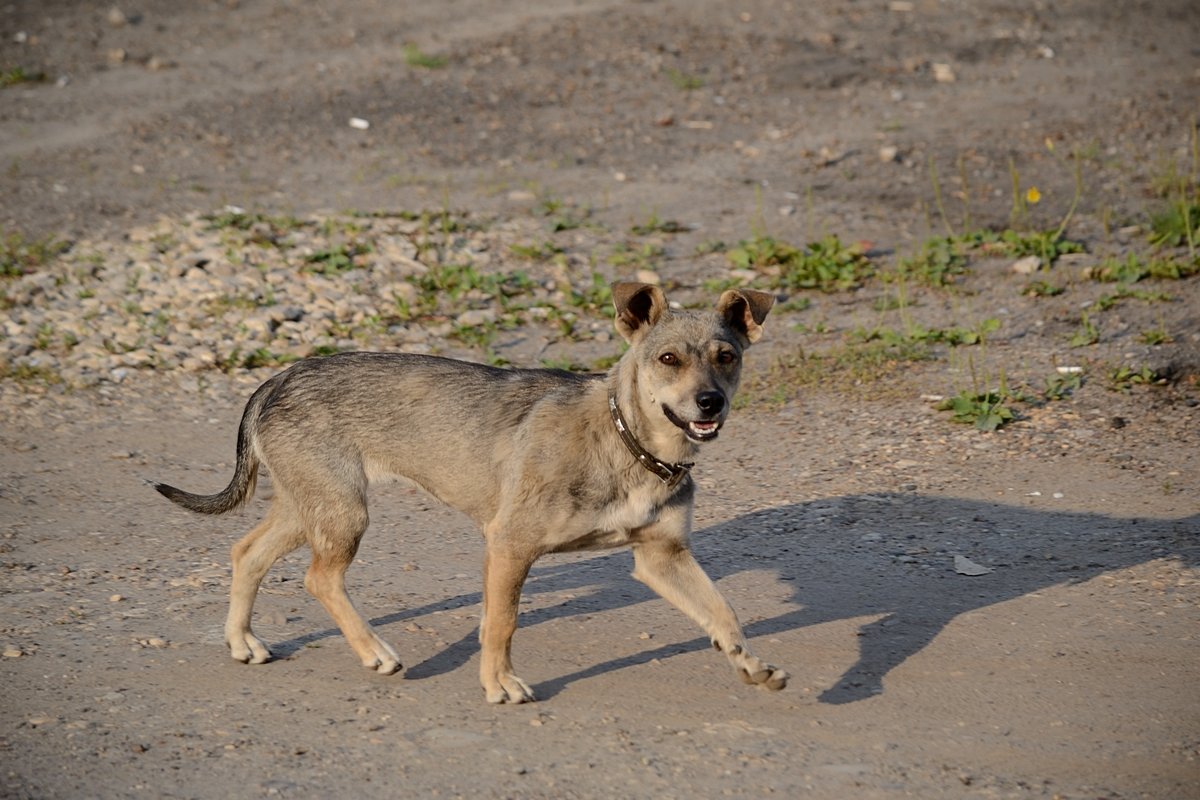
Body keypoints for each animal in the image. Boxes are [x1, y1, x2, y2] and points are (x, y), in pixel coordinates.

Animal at [152, 281, 787, 700]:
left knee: (246, 553)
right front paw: (498, 682)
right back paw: (375, 652)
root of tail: (278, 376)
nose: (710, 403)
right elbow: (501, 623)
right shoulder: (509, 545)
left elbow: (724, 614)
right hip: (343, 513)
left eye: (727, 357)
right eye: (668, 358)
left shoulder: (662, 557)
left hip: (311, 506)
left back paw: (242, 641)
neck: (628, 443)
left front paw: (752, 666)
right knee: (318, 578)